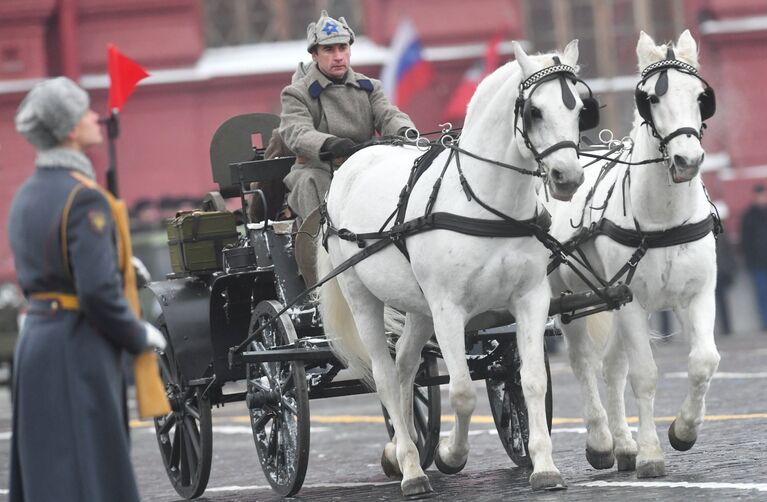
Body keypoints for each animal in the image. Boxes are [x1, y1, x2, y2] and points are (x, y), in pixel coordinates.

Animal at [544, 30, 720, 478]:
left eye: (700, 96)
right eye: (651, 98)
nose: (688, 160)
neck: (664, 218)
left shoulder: (697, 294)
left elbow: (704, 361)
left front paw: (683, 431)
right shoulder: (632, 301)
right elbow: (645, 374)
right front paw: (652, 454)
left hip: (608, 298)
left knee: (611, 365)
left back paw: (623, 445)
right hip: (566, 295)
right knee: (584, 362)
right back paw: (602, 441)